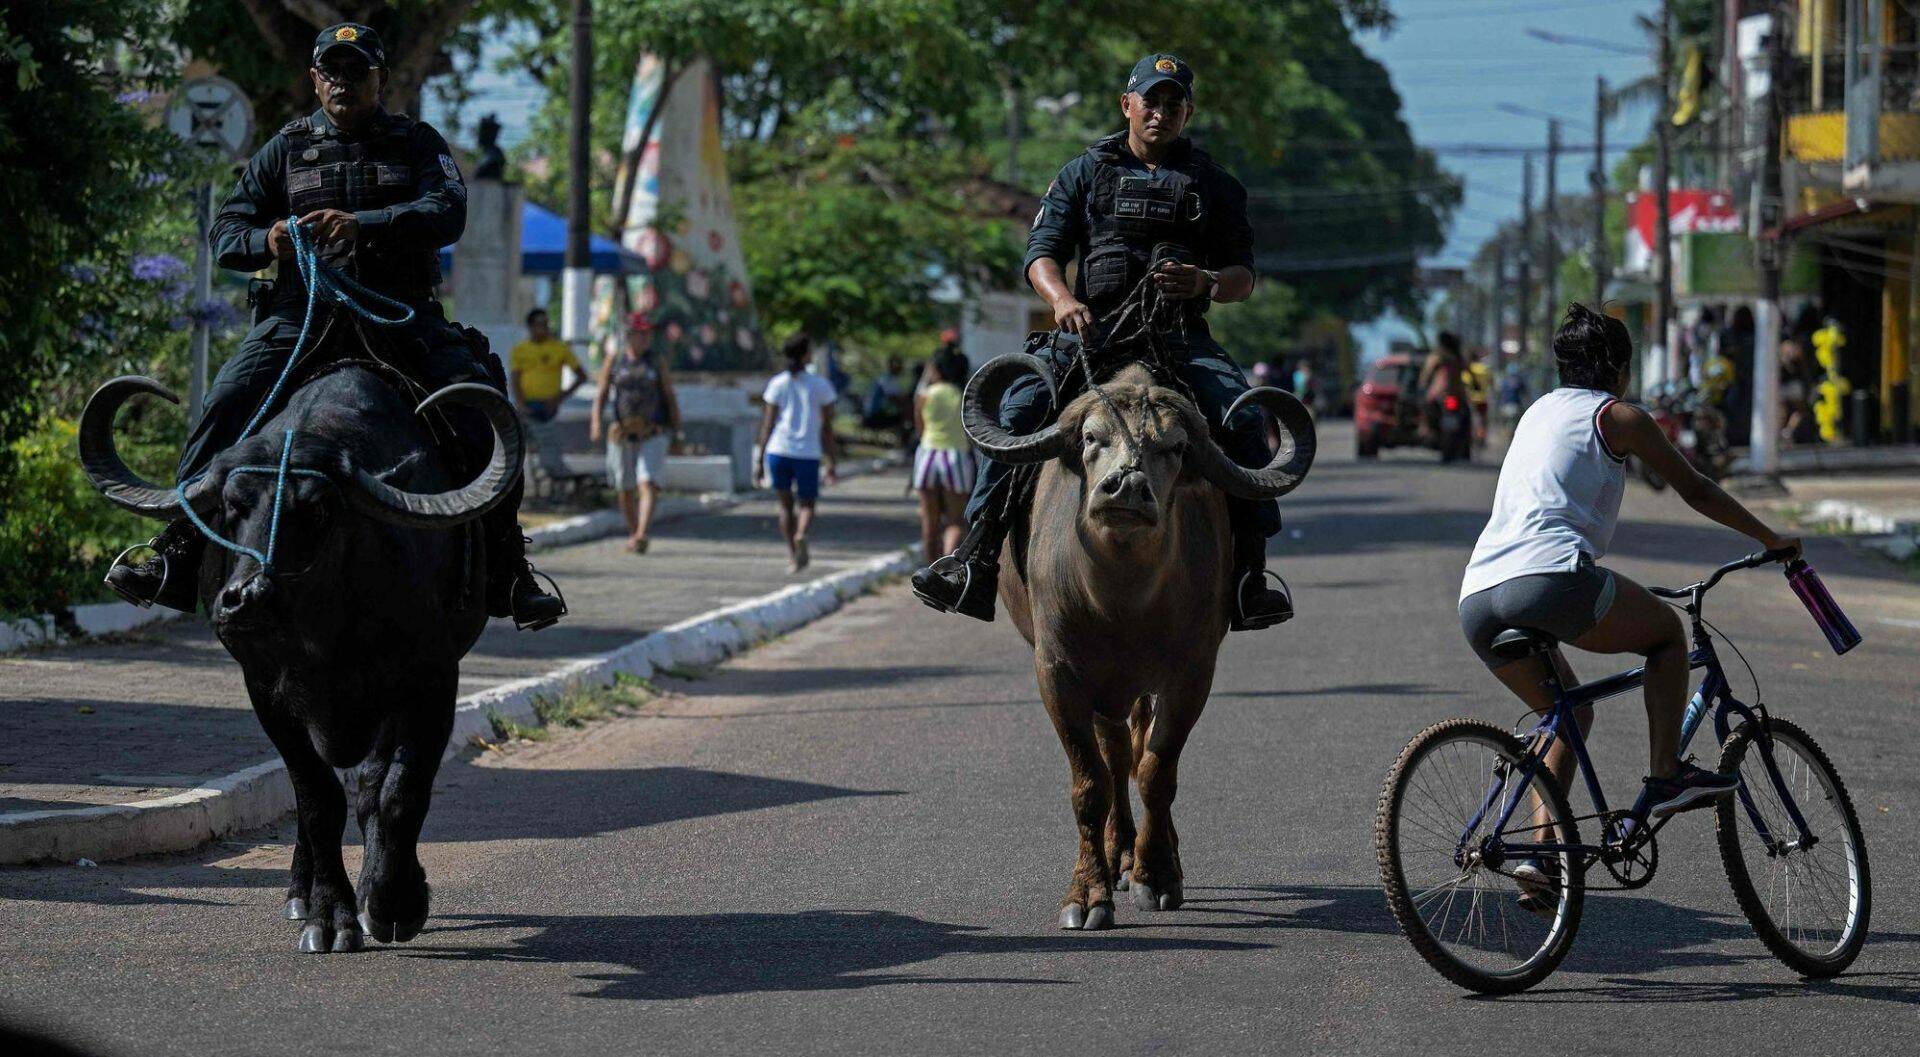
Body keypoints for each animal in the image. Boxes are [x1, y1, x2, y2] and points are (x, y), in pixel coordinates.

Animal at [79, 364, 522, 951]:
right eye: (232, 506)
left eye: (318, 509)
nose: (248, 599)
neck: (326, 627)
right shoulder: (266, 688)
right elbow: (316, 798)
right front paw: (329, 915)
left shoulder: (428, 680)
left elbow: (397, 791)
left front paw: (392, 902)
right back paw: (299, 892)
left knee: (372, 787)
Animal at [967, 352, 1313, 928]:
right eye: (1091, 436)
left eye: (1174, 448)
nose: (1126, 487)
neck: (1120, 600)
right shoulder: (1058, 674)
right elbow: (1090, 784)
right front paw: (1088, 894)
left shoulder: (1191, 676)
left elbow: (1156, 771)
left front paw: (1158, 875)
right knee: (1114, 760)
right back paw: (1117, 854)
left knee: (1137, 751)